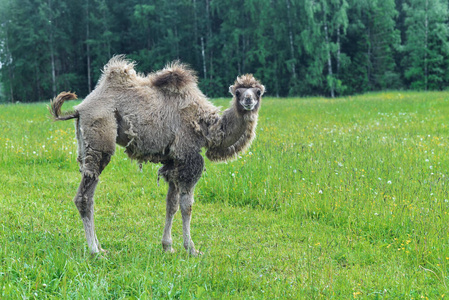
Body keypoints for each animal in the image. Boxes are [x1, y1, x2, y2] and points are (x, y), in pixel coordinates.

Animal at [50, 55, 262, 255]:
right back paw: (94, 251)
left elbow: (171, 204)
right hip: (99, 140)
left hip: (84, 145)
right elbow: (187, 206)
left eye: (258, 92)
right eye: (238, 92)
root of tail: (79, 109)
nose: (248, 101)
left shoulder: (174, 161)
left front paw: (168, 246)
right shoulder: (188, 157)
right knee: (84, 197)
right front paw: (192, 249)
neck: (206, 128)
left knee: (90, 194)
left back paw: (101, 248)